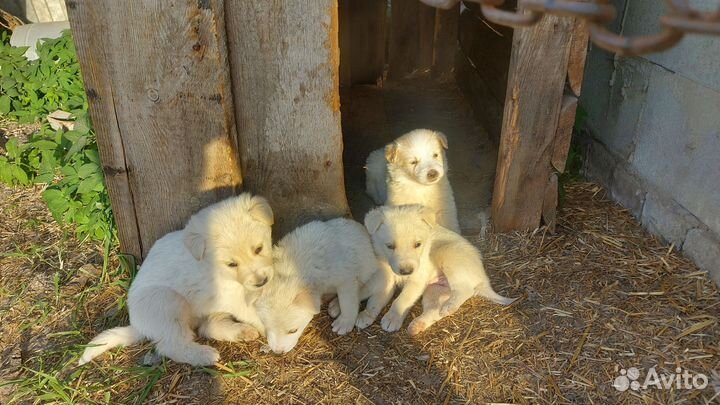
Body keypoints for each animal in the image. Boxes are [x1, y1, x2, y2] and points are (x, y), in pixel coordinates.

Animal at [76, 193, 272, 366]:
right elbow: (253, 312)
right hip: (167, 302)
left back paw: (242, 331)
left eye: (259, 249)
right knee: (172, 346)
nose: (262, 281)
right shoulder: (231, 296)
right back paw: (204, 355)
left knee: (208, 327)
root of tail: (137, 325)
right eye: (232, 264)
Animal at [255, 216, 388, 352]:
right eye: (267, 328)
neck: (293, 267)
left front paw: (344, 323)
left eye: (293, 331)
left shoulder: (347, 279)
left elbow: (348, 303)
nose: (278, 352)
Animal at [366, 205, 512, 334]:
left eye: (417, 244)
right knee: (433, 311)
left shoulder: (417, 280)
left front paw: (392, 318)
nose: (406, 271)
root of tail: (483, 278)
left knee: (466, 289)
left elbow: (402, 299)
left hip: (449, 255)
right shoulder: (386, 279)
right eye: (390, 246)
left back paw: (449, 307)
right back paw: (416, 326)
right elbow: (377, 298)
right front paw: (365, 315)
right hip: (435, 290)